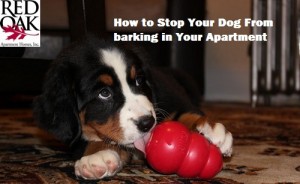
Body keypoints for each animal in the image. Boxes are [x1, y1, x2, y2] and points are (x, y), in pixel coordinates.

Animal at [34, 36, 233, 180]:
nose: (147, 123)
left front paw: (212, 129)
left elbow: (185, 113)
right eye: (104, 93)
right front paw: (97, 156)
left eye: (138, 81)